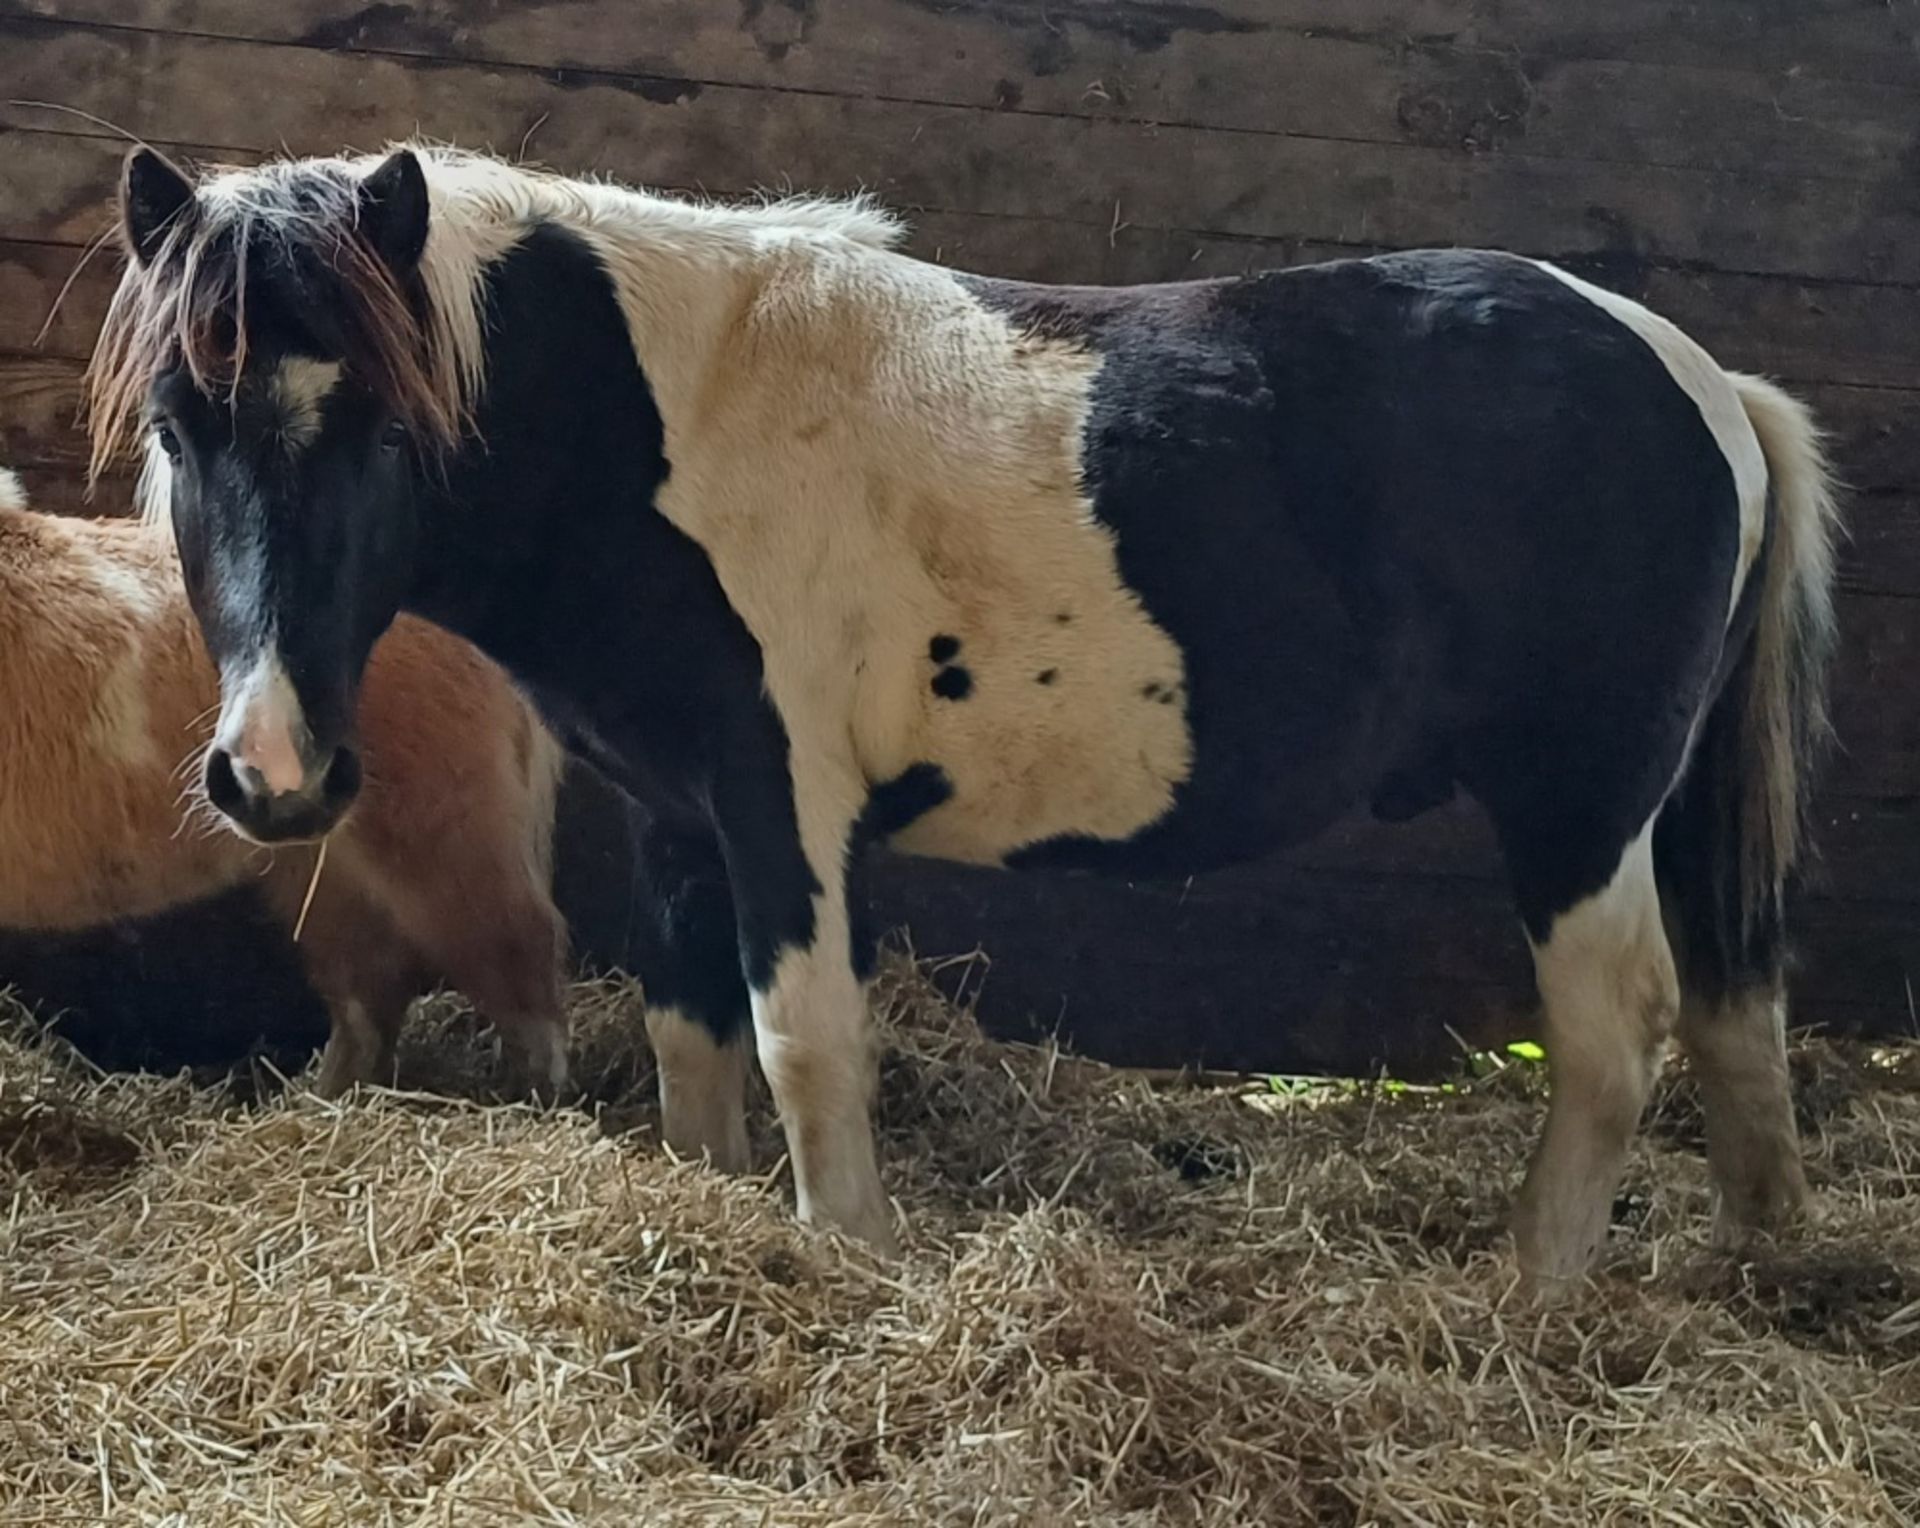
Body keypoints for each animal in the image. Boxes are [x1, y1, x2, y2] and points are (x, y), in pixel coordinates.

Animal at [93, 145, 1843, 1274]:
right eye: (180, 423)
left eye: (383, 430)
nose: (274, 775)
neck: (656, 430)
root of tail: (1706, 382)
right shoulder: (679, 815)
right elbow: (690, 1047)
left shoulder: (782, 806)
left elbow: (804, 1041)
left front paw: (853, 1256)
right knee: (1732, 1013)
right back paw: (1755, 1265)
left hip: (1579, 804)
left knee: (1618, 1031)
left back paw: (1532, 1294)